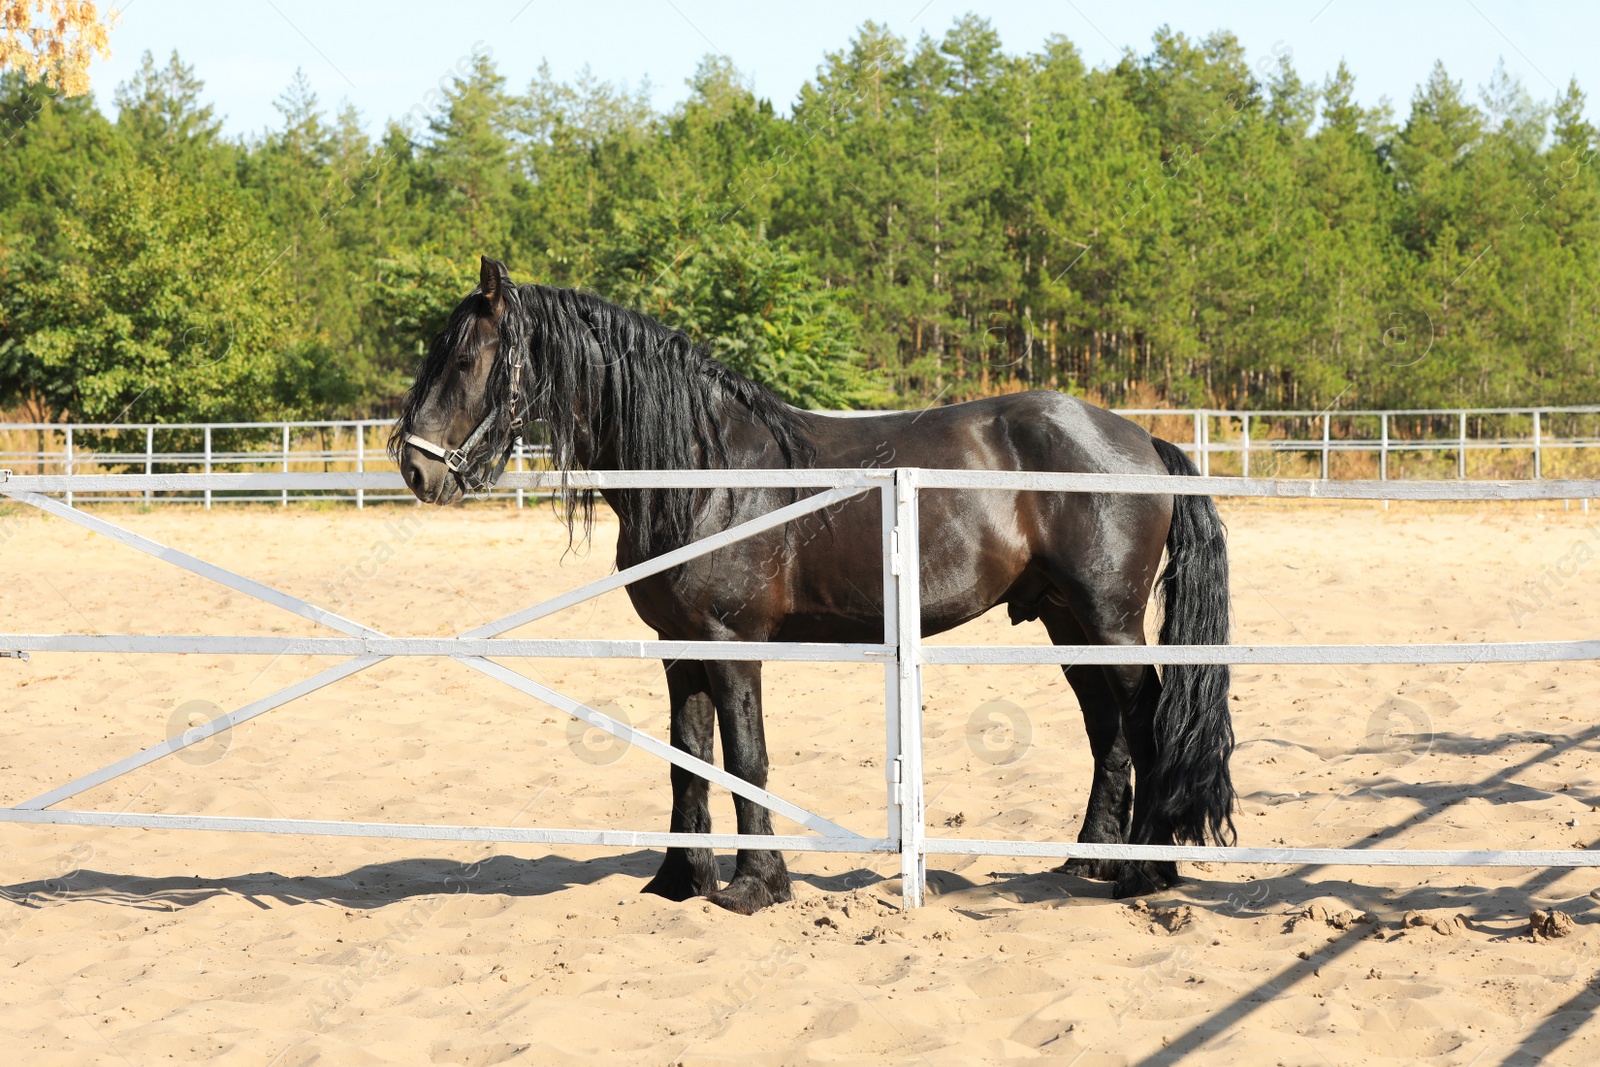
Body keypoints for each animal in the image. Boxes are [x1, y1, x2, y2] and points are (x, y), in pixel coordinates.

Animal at [390, 254, 1235, 915]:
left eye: (464, 360)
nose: (415, 467)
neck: (707, 469)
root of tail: (1138, 438)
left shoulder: (731, 641)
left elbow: (746, 757)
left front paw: (756, 885)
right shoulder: (678, 644)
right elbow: (687, 755)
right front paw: (679, 880)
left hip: (1110, 618)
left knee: (1146, 722)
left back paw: (1146, 876)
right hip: (1067, 621)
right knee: (1108, 733)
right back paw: (1091, 860)